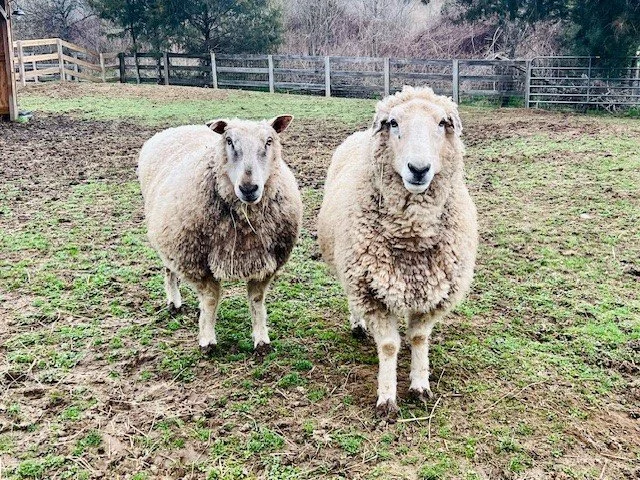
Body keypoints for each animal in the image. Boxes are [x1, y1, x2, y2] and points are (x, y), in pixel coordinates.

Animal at [138, 115, 302, 356]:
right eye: (229, 141)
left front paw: (261, 340)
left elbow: (256, 301)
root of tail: (179, 128)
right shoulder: (197, 262)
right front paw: (207, 340)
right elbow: (210, 300)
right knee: (169, 269)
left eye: (269, 141)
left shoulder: (265, 263)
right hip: (169, 237)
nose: (249, 188)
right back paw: (173, 302)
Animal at [317, 86, 478, 417]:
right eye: (393, 123)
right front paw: (387, 397)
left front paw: (420, 386)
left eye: (442, 123)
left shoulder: (435, 294)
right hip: (350, 268)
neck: (412, 236)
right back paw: (358, 325)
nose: (419, 169)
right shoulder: (370, 290)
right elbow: (390, 345)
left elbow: (418, 337)